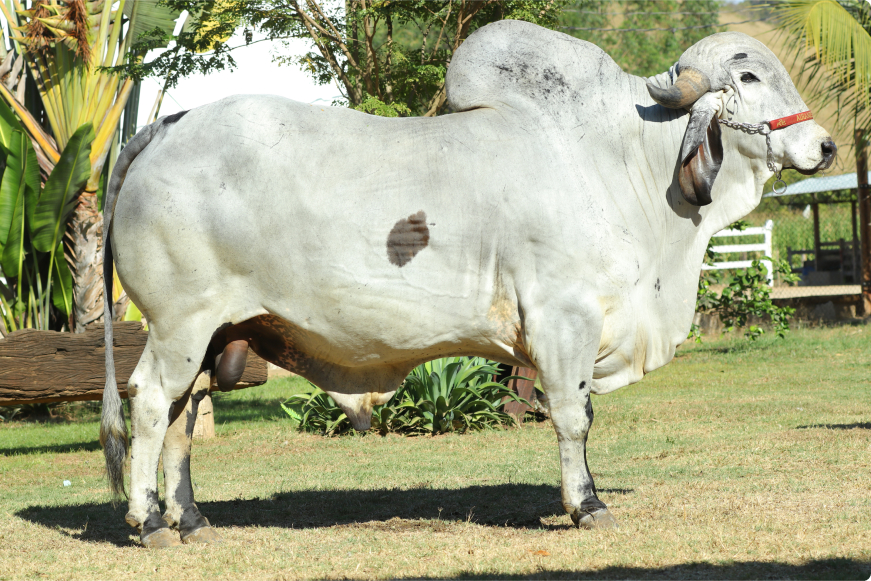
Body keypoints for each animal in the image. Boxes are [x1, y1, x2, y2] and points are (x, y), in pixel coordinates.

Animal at [99, 22, 836, 548]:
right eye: (748, 74)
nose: (825, 147)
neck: (616, 160)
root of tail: (169, 124)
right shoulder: (563, 319)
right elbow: (574, 416)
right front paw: (587, 505)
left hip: (213, 333)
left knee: (182, 415)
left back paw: (190, 518)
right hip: (179, 324)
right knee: (151, 403)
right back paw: (149, 521)